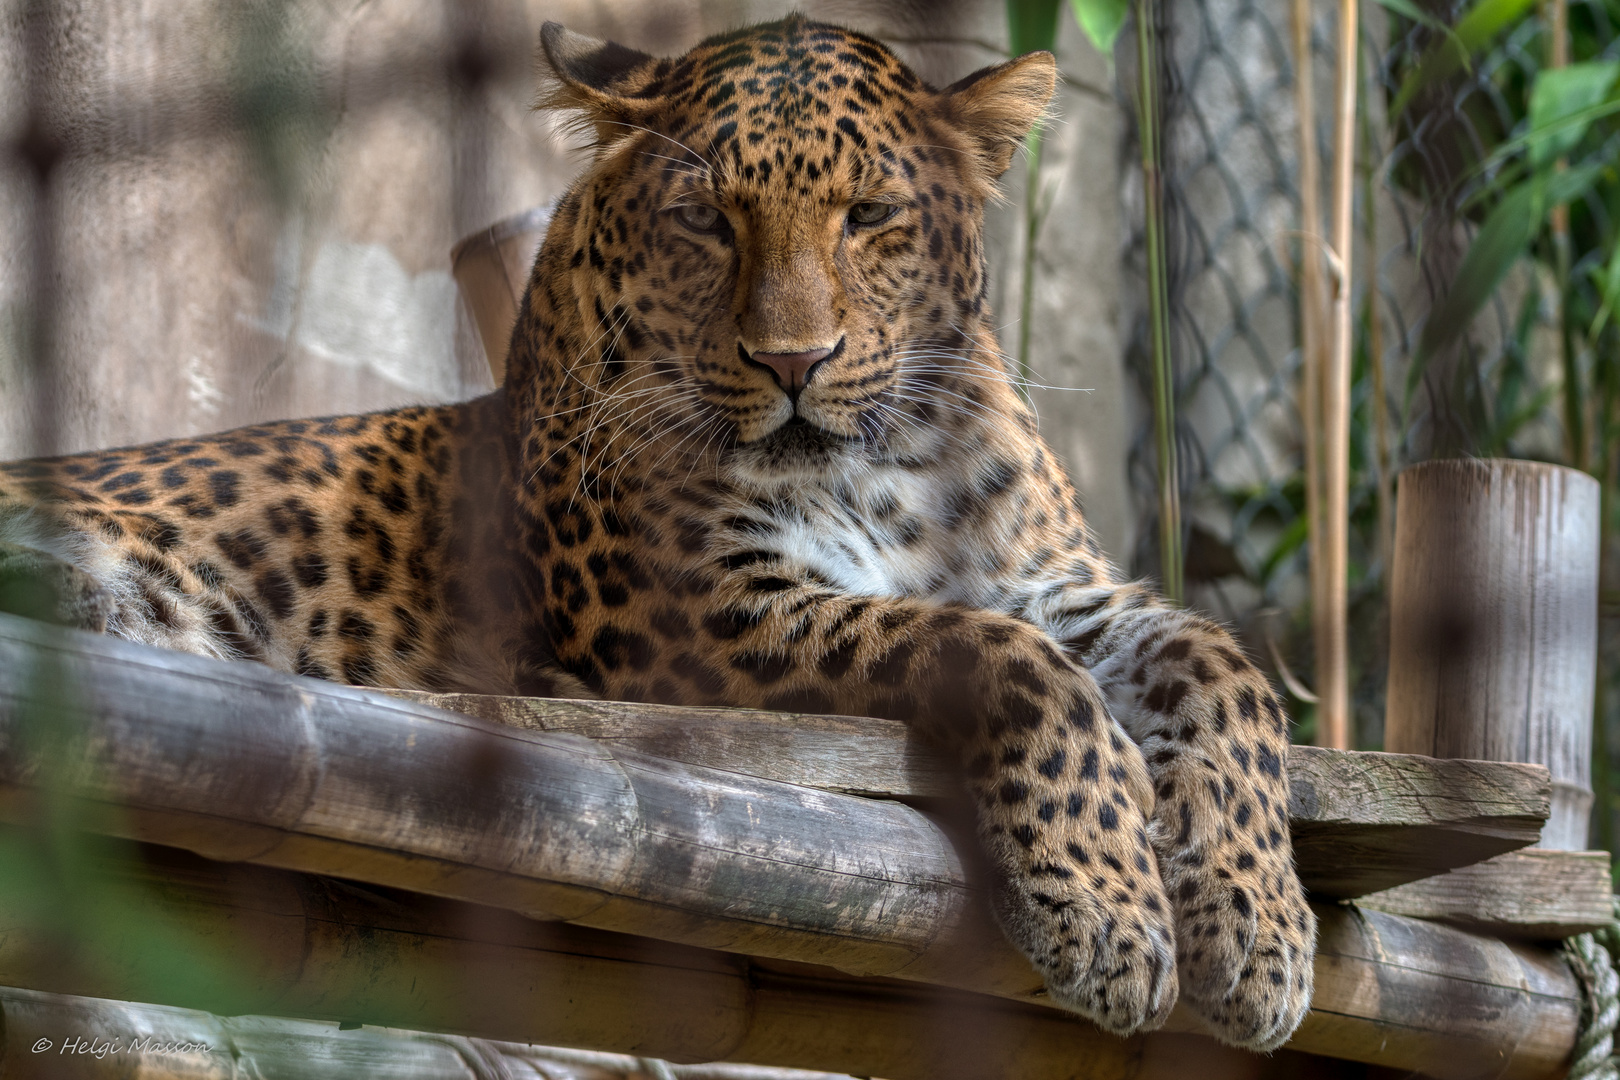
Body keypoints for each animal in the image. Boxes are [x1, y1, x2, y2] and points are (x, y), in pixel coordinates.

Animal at [0, 12, 1308, 1049]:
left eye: (870, 215)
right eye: (707, 219)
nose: (793, 362)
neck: (892, 471)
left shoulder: (1058, 584)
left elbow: (1223, 665)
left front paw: (1261, 933)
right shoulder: (702, 608)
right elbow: (996, 658)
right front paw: (1110, 909)